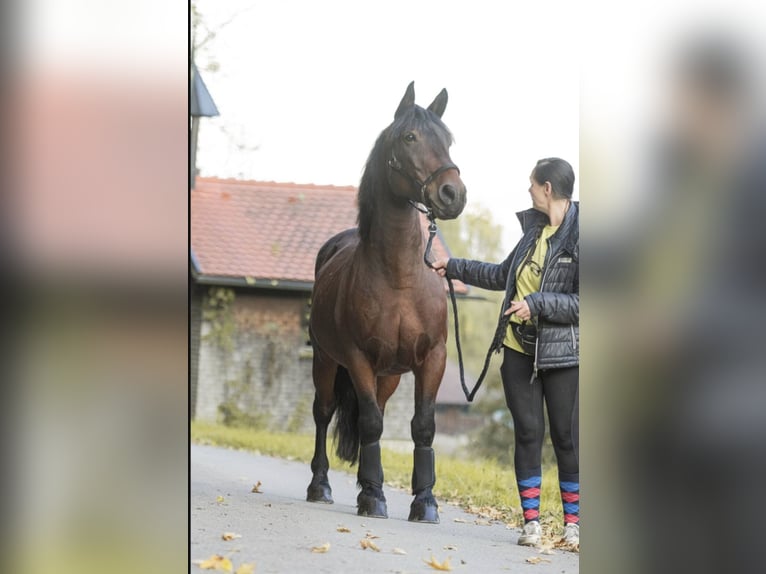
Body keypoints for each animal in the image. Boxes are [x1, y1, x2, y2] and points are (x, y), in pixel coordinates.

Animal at [305, 82, 467, 523]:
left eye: (447, 140)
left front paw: (424, 502)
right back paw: (320, 486)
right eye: (409, 137)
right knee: (325, 413)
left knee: (369, 411)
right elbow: (371, 425)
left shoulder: (432, 358)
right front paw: (374, 497)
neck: (400, 278)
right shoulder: (357, 357)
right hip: (325, 360)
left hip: (389, 374)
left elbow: (422, 426)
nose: (453, 194)